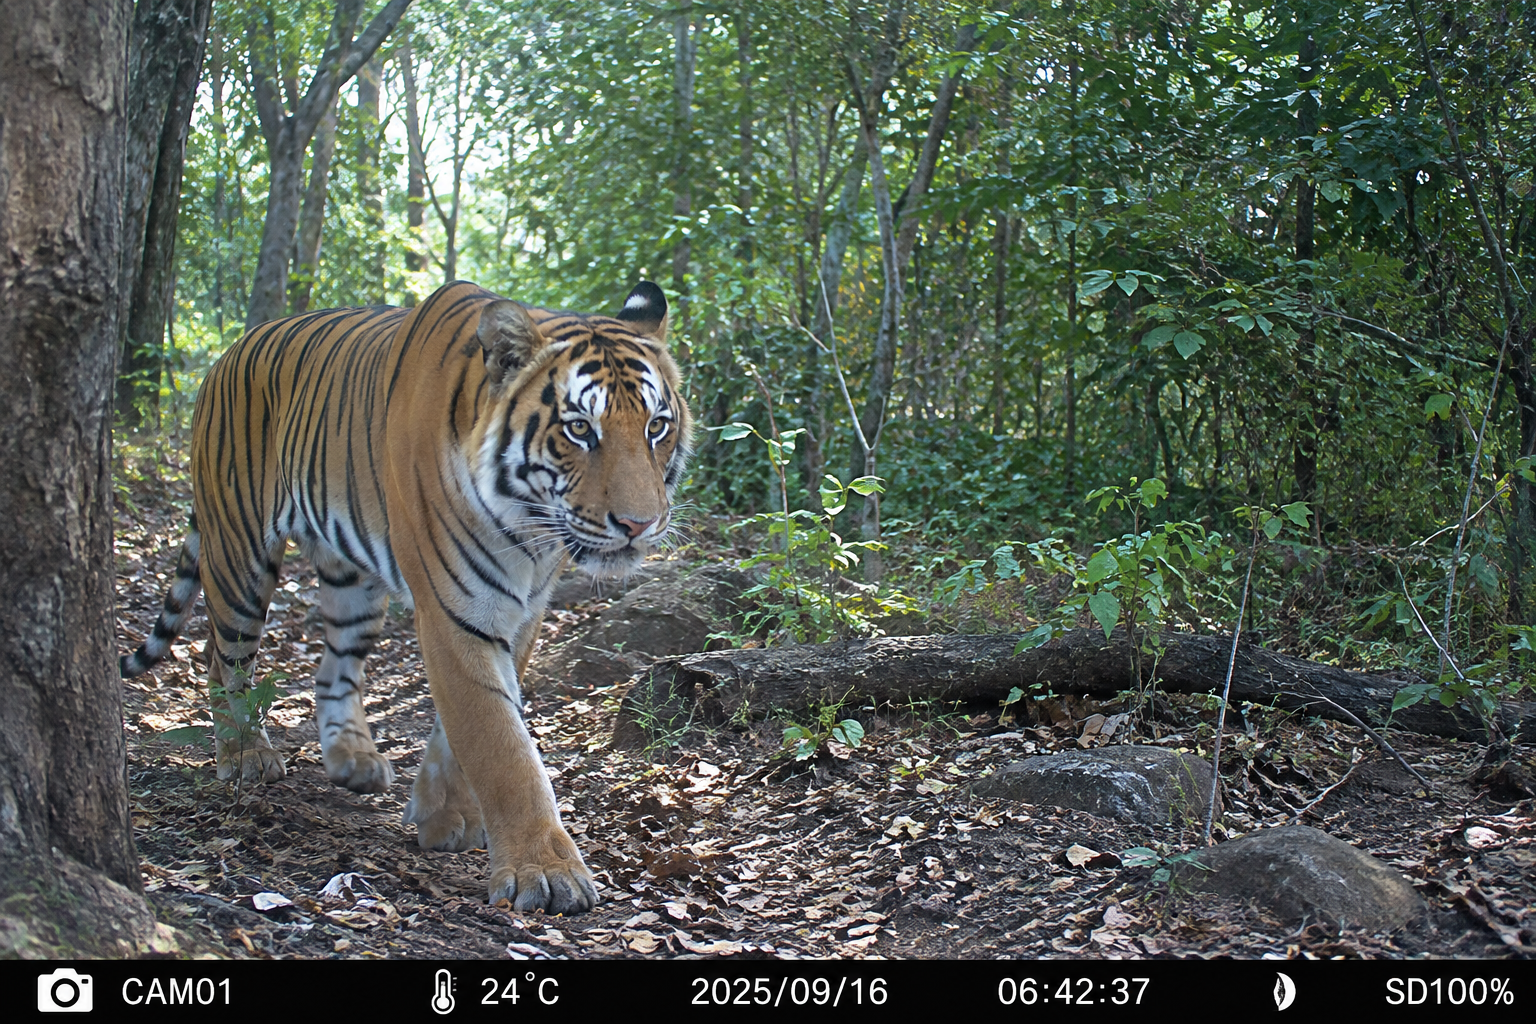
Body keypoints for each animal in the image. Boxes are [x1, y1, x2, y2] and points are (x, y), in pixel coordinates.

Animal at [120, 279, 691, 914]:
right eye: (580, 430)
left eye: (656, 427)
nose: (639, 525)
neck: (529, 530)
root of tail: (227, 353)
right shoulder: (453, 608)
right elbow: (498, 742)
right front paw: (543, 871)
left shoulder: (521, 613)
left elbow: (468, 724)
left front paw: (445, 817)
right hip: (239, 551)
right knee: (222, 657)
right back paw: (246, 756)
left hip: (351, 579)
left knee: (332, 667)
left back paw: (354, 761)